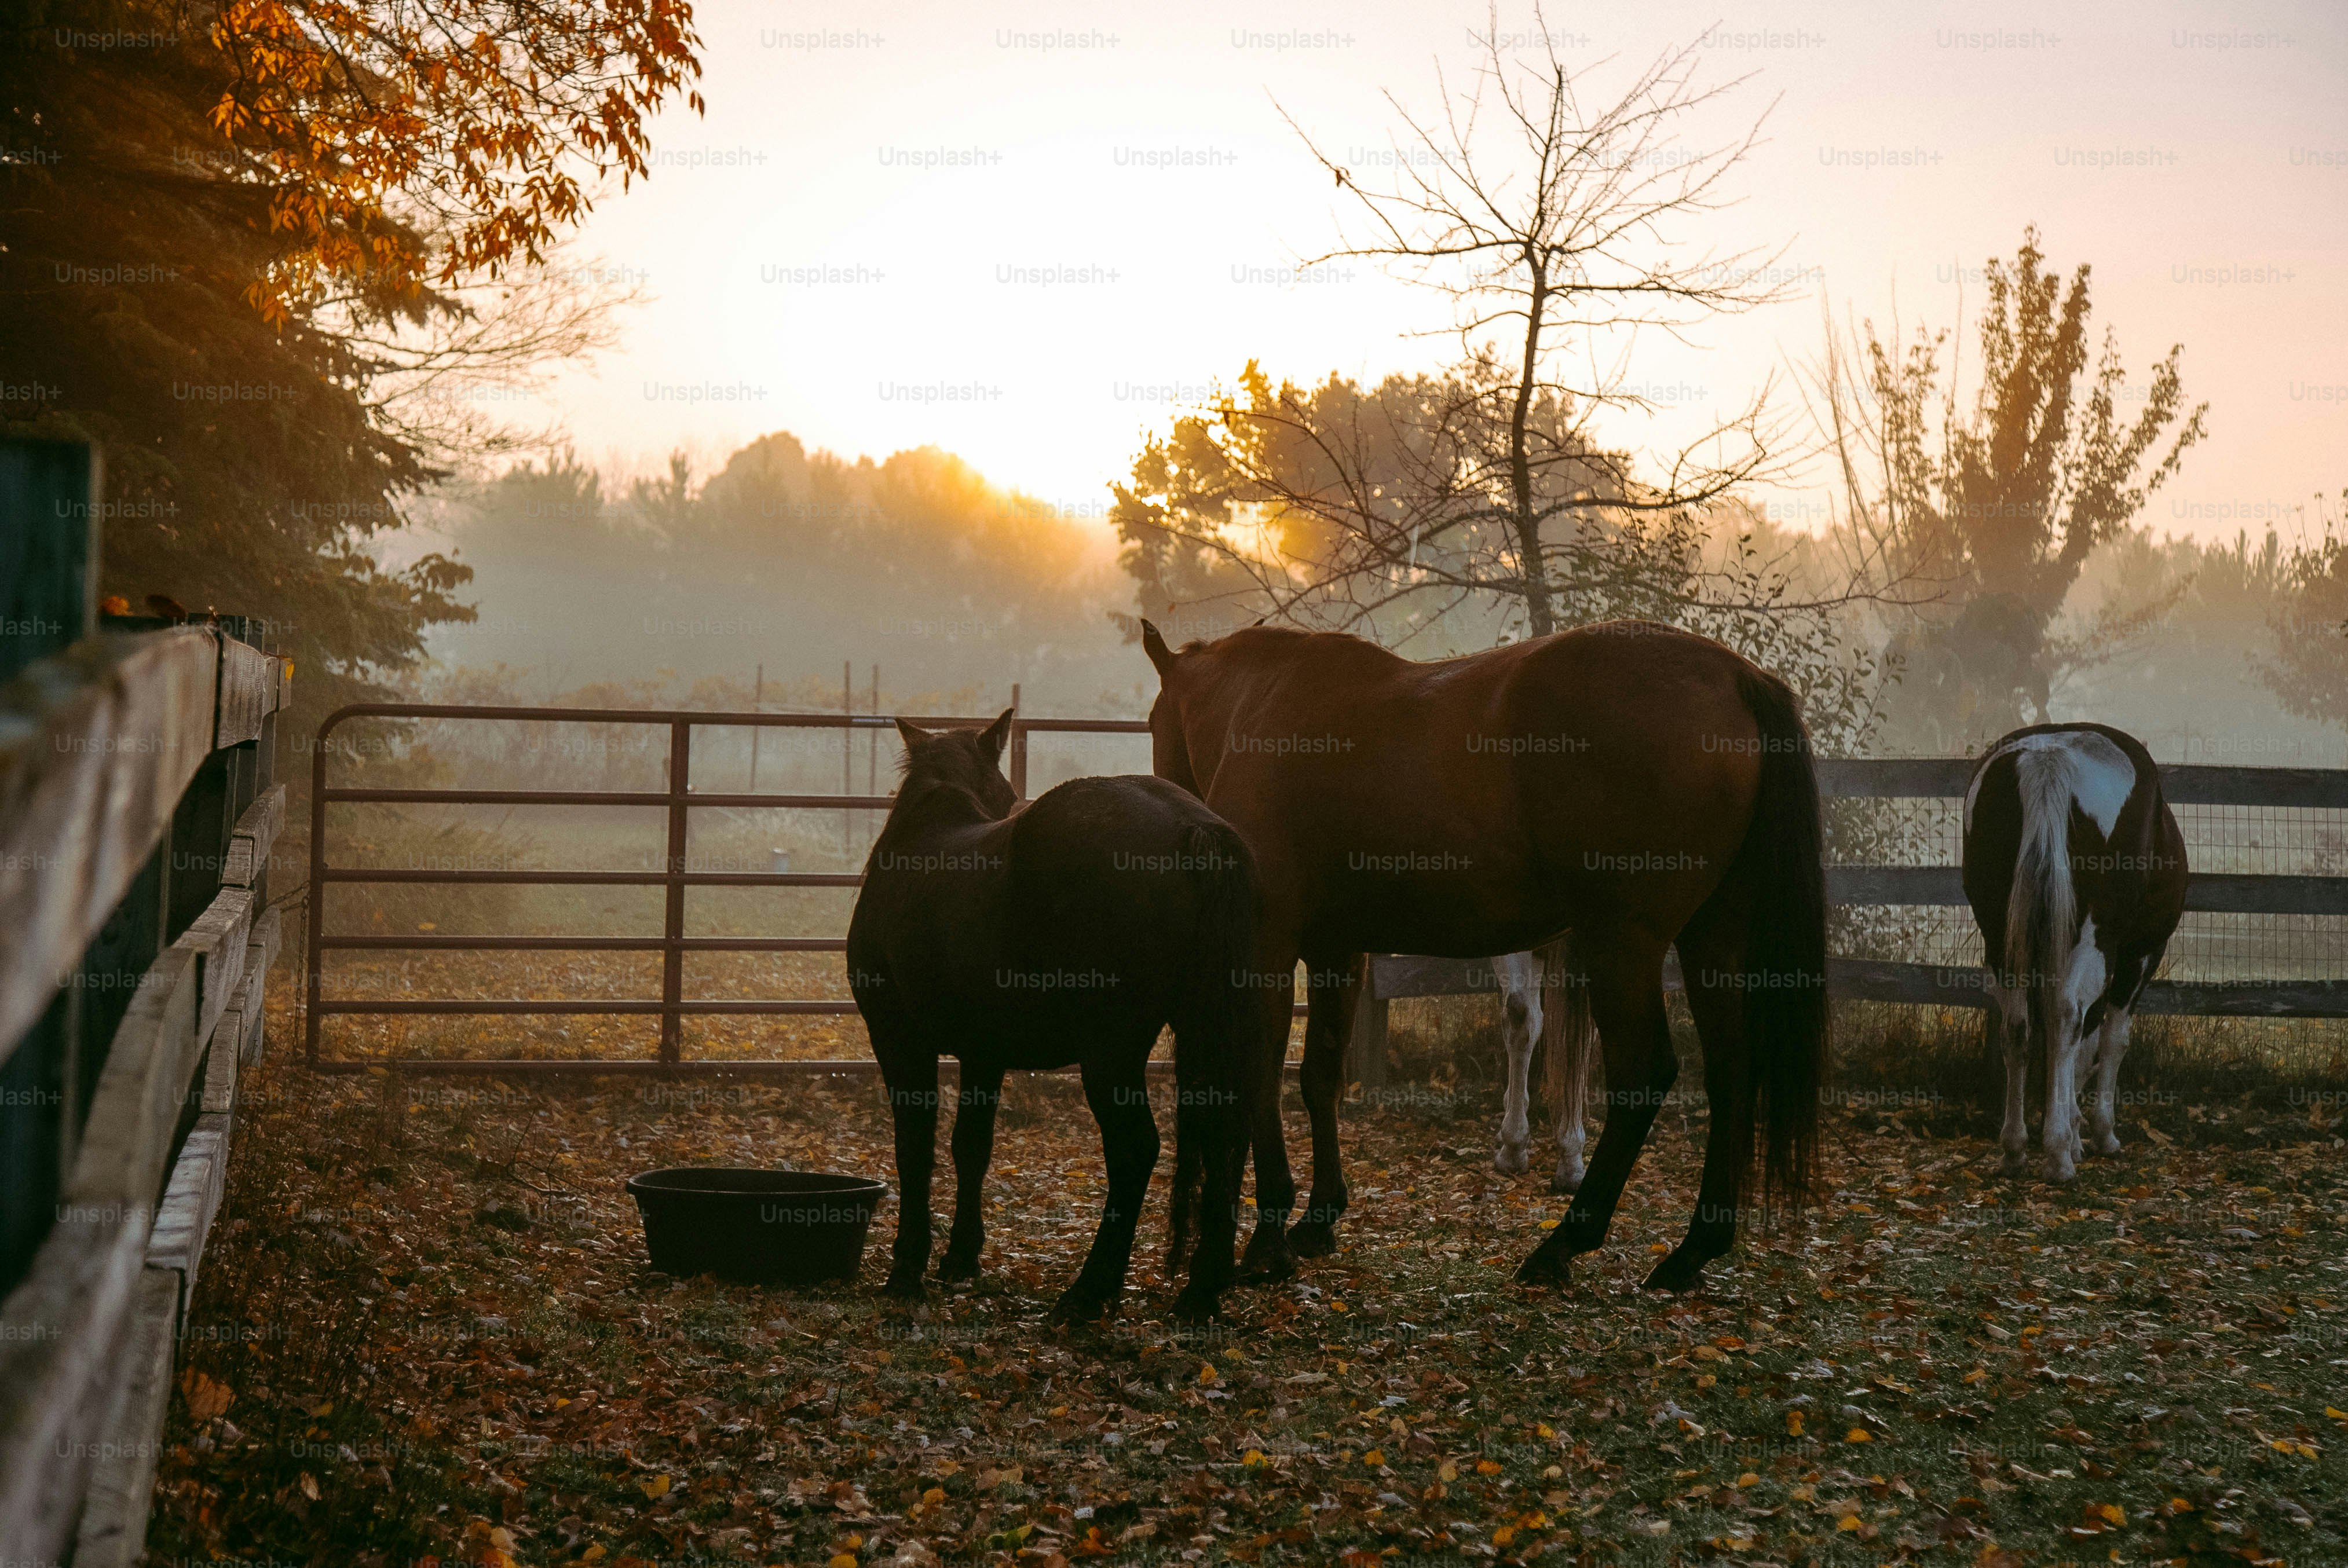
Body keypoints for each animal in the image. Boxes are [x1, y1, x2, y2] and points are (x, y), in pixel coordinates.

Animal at [846, 710, 1260, 1321]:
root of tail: (1194, 829)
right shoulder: (983, 1052)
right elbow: (970, 1147)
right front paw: (959, 1259)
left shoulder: (899, 1039)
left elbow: (914, 1148)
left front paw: (908, 1269)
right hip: (1203, 1029)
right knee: (1221, 1138)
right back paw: (1200, 1290)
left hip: (1113, 1049)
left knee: (1136, 1149)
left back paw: (1090, 1289)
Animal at [1142, 618, 1828, 1292]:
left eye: (1151, 723)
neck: (1267, 701)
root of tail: (1735, 676)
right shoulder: (1338, 952)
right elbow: (1319, 1078)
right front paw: (1317, 1218)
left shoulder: (1267, 950)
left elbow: (1261, 1079)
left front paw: (1268, 1240)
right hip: (1714, 935)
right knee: (1732, 1069)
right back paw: (1692, 1251)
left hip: (1623, 941)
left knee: (1643, 1074)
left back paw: (1564, 1243)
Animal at [1960, 722, 2188, 1184]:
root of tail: (2049, 757)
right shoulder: (2139, 956)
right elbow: (2110, 1042)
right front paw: (2096, 1134)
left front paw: (2071, 1129)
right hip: (2093, 940)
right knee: (2066, 1017)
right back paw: (2058, 1157)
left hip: (2002, 940)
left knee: (2018, 1027)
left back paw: (2015, 1148)